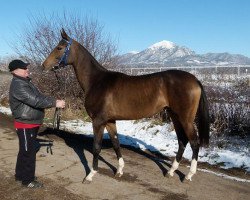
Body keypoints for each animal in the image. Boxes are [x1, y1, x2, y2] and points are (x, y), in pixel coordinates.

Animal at [42, 29, 209, 183]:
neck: (96, 81)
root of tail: (195, 80)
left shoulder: (98, 121)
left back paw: (188, 175)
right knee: (182, 141)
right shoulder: (110, 121)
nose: (43, 65)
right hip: (175, 116)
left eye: (59, 47)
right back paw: (171, 171)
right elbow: (116, 144)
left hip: (185, 119)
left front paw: (90, 174)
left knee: (194, 143)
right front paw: (120, 170)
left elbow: (96, 147)